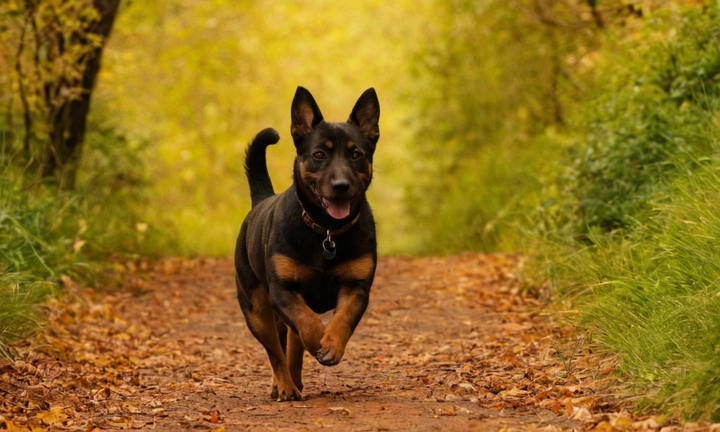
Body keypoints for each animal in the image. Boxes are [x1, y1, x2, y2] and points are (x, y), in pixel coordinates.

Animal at [236, 86, 382, 400]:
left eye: (356, 154)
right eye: (318, 154)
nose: (341, 185)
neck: (326, 231)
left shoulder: (356, 287)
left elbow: (342, 319)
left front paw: (332, 344)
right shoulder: (283, 290)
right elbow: (306, 322)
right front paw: (318, 342)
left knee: (290, 345)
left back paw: (295, 380)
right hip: (256, 310)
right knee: (276, 352)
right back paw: (285, 386)